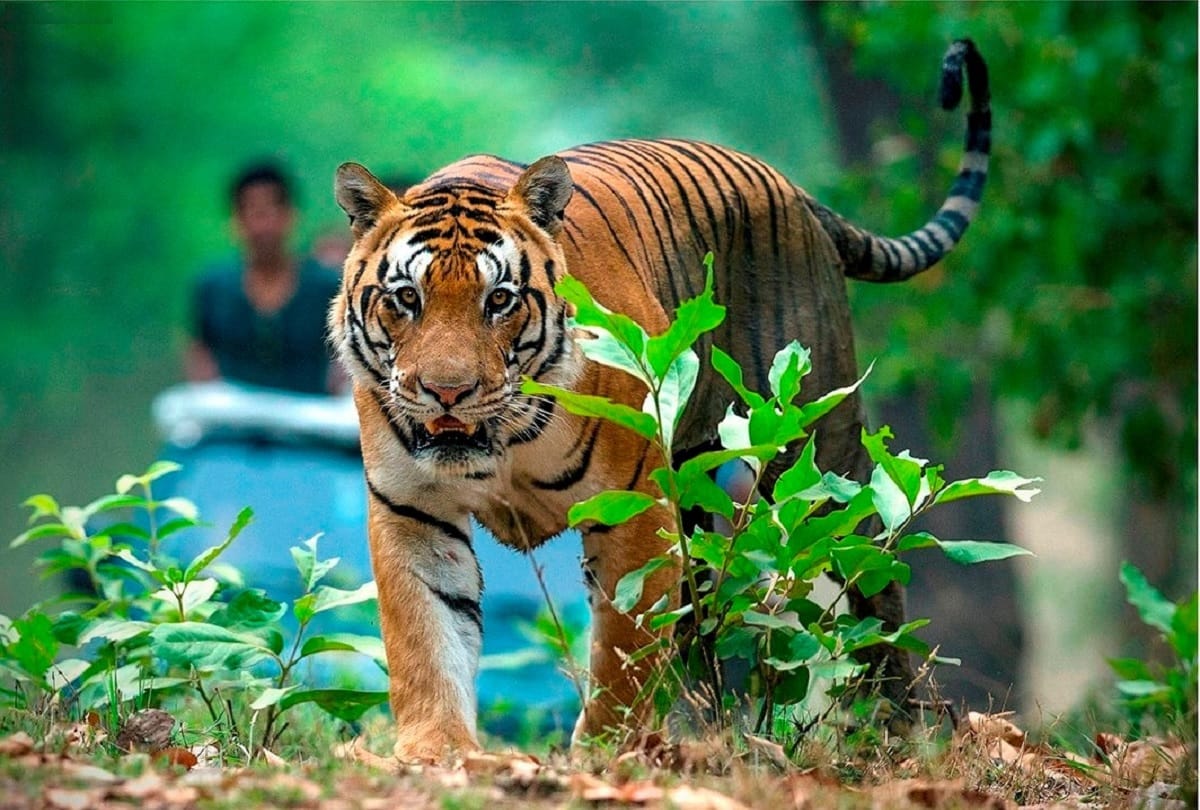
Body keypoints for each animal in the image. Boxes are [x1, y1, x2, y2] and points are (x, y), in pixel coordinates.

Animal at [327, 39, 990, 761]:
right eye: (406, 299)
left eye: (498, 299)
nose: (447, 391)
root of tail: (795, 191)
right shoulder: (412, 508)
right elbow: (424, 635)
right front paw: (436, 750)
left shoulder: (634, 505)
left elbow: (626, 644)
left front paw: (604, 751)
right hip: (696, 486)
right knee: (704, 619)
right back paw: (709, 731)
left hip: (819, 446)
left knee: (872, 569)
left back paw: (892, 731)